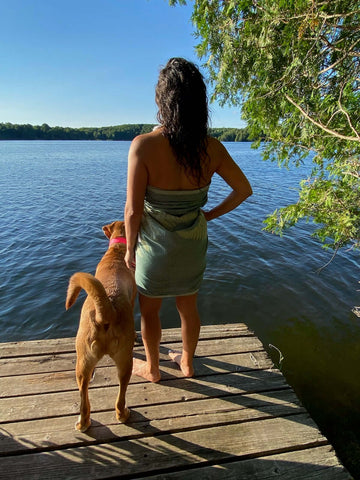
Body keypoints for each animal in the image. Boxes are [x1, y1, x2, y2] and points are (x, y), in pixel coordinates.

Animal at [64, 220, 135, 432]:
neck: (118, 249)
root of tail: (106, 310)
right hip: (126, 361)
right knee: (120, 398)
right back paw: (123, 414)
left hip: (83, 364)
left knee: (83, 399)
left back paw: (83, 423)